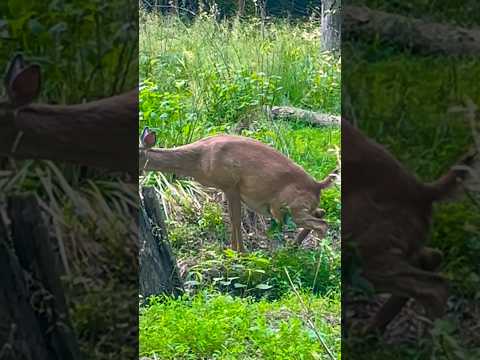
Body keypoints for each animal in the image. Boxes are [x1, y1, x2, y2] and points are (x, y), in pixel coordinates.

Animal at [139, 128, 338, 252]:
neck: (199, 160)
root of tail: (318, 185)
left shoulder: (231, 184)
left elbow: (235, 220)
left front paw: (239, 252)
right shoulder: (227, 189)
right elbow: (233, 219)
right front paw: (233, 250)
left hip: (286, 207)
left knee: (322, 224)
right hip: (292, 208)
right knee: (321, 213)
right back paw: (293, 250)